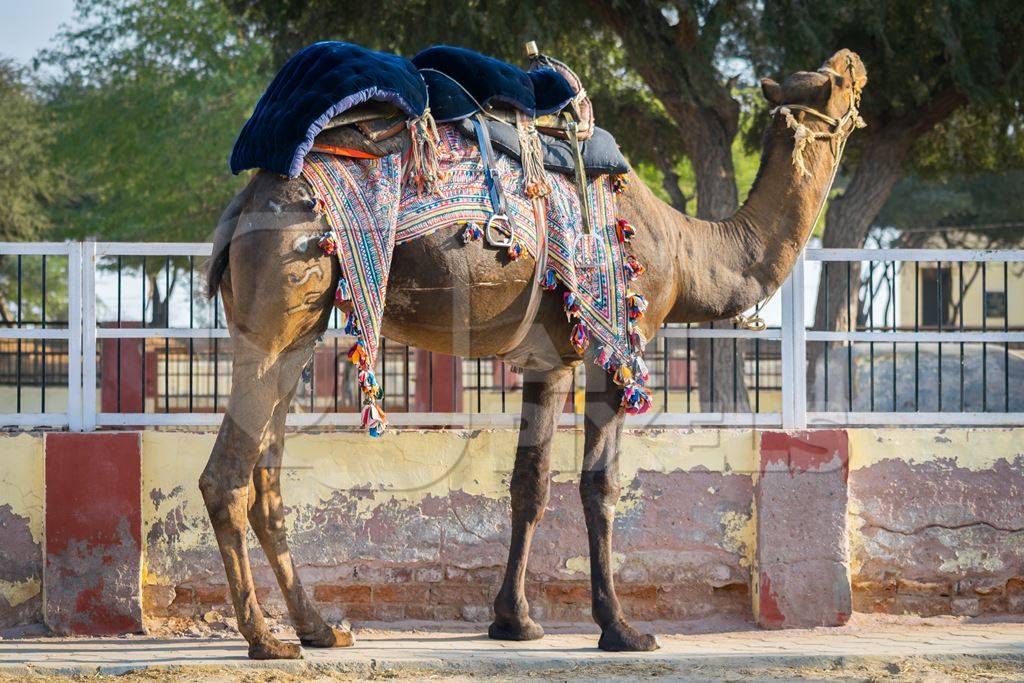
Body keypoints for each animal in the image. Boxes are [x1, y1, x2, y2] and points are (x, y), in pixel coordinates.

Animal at [197, 49, 864, 663]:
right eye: (839, 83)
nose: (853, 61)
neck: (686, 249)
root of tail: (243, 207)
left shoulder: (550, 362)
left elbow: (530, 483)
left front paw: (514, 620)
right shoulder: (614, 343)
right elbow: (600, 484)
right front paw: (622, 629)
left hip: (299, 331)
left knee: (267, 476)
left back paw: (319, 629)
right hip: (278, 297)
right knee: (226, 476)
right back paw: (264, 640)